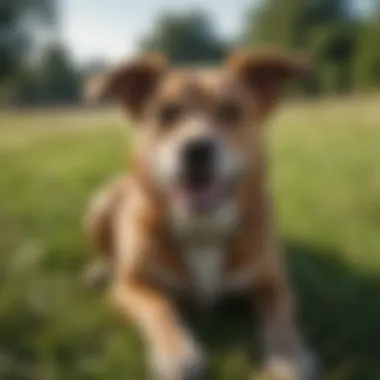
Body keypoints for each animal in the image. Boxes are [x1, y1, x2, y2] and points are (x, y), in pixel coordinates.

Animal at [84, 49, 318, 380]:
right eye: (166, 112)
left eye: (231, 111)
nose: (196, 149)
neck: (203, 228)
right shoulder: (131, 285)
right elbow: (160, 306)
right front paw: (176, 353)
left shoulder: (273, 282)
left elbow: (281, 318)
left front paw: (289, 357)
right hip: (100, 205)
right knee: (106, 253)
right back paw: (98, 269)